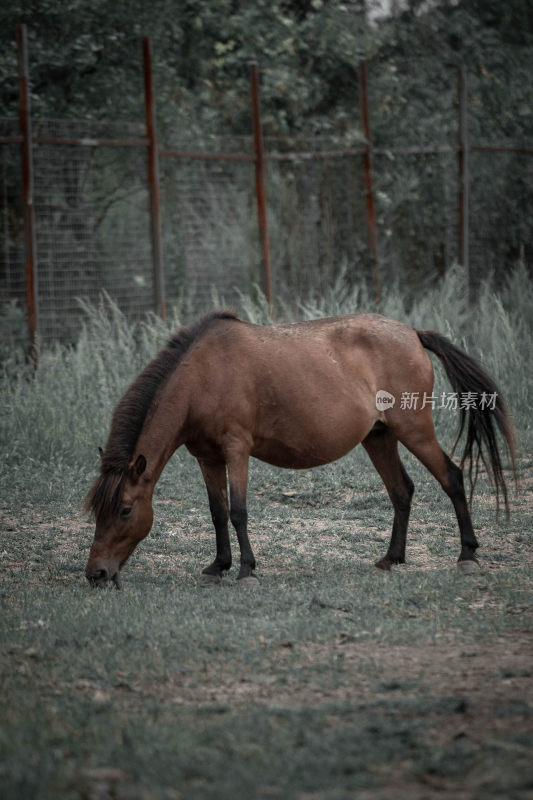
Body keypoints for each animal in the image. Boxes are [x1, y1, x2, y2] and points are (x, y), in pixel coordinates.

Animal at [84, 310, 516, 588]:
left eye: (125, 510)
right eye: (96, 512)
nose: (96, 573)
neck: (203, 375)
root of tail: (411, 333)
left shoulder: (236, 450)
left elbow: (238, 512)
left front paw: (246, 570)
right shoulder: (206, 457)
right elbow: (218, 513)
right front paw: (218, 565)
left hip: (415, 430)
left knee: (452, 477)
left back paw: (467, 556)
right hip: (379, 437)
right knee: (401, 491)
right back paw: (390, 559)